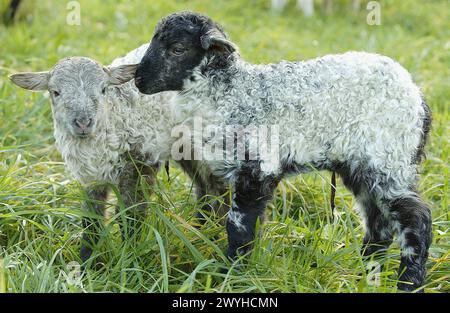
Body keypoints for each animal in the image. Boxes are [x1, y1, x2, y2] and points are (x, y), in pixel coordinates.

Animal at [9, 44, 229, 264]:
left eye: (103, 89)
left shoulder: (140, 164)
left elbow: (130, 214)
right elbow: (92, 218)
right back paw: (200, 230)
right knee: (204, 187)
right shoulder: (90, 176)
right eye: (55, 92)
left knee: (219, 189)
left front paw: (130, 257)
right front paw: (89, 263)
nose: (83, 122)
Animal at [135, 11, 434, 290]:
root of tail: (417, 94)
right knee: (378, 225)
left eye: (177, 48)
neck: (231, 93)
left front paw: (230, 274)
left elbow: (238, 226)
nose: (138, 80)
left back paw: (408, 282)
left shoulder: (257, 168)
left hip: (389, 159)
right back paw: (365, 274)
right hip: (360, 167)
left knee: (416, 219)